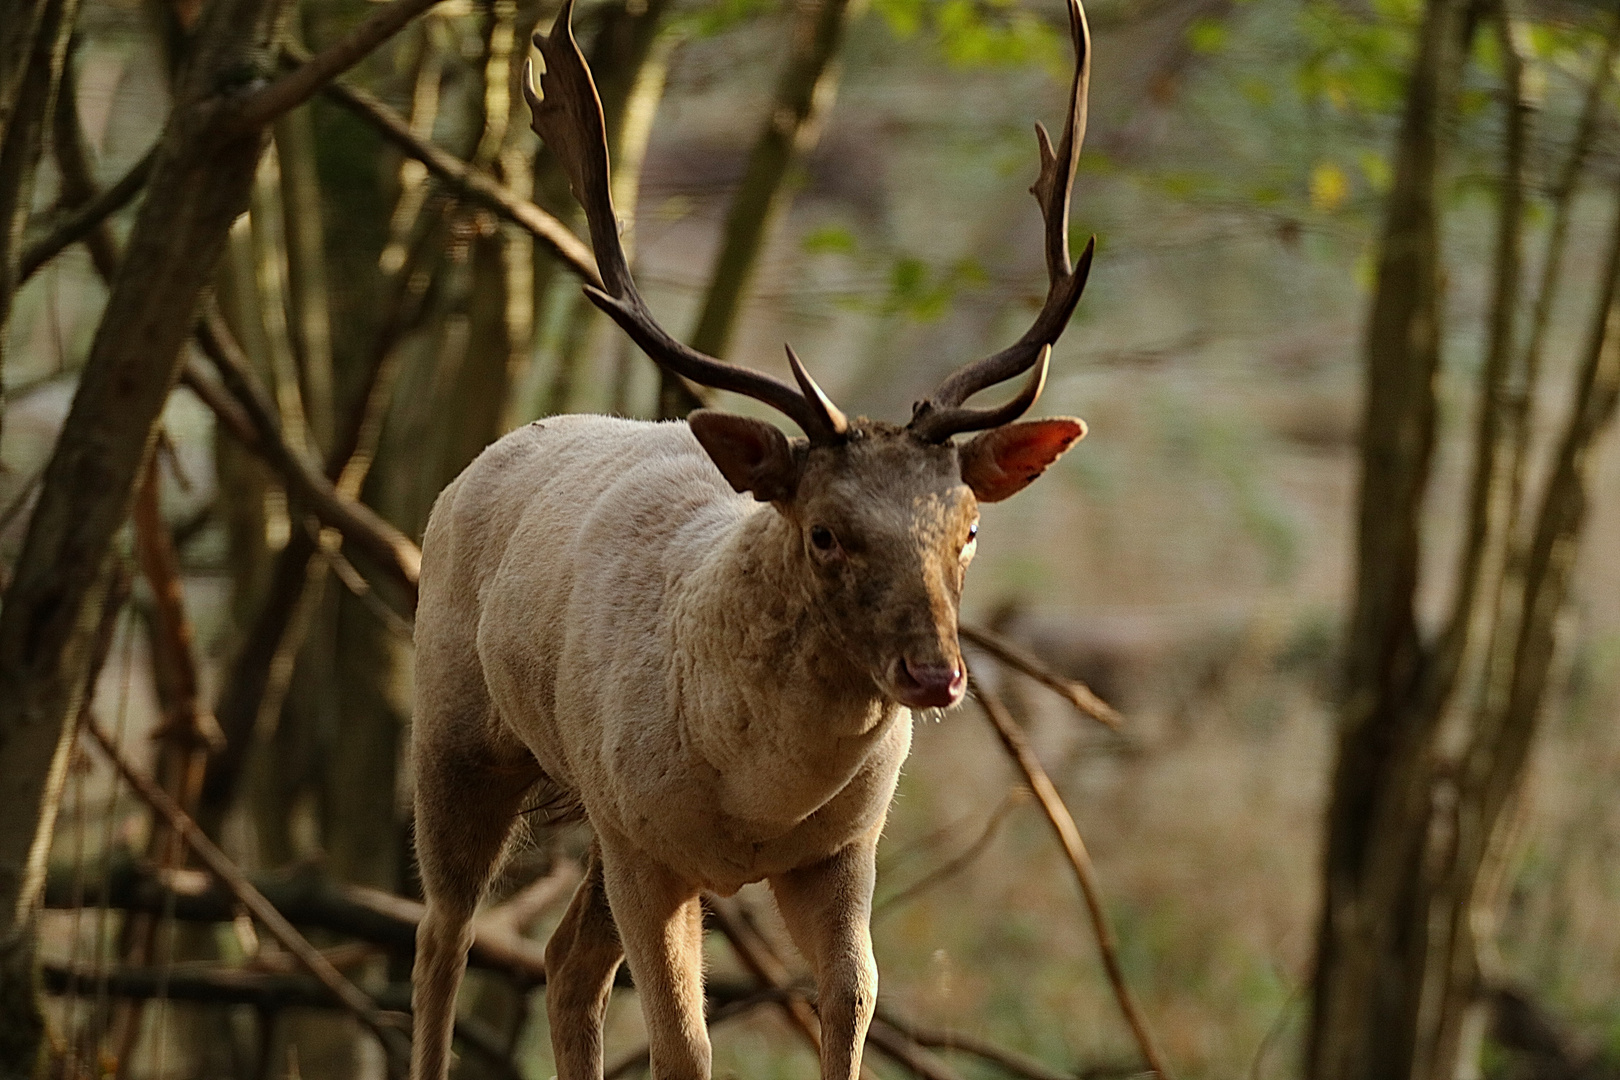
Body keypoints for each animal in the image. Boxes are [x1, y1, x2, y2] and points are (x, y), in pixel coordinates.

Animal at [405, 0, 1095, 1075]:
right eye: (825, 533)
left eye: (971, 527)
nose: (935, 675)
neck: (755, 803)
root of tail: (497, 449)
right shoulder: (647, 848)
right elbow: (685, 1046)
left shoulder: (843, 851)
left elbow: (852, 1004)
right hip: (455, 732)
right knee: (442, 937)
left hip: (589, 813)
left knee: (564, 961)